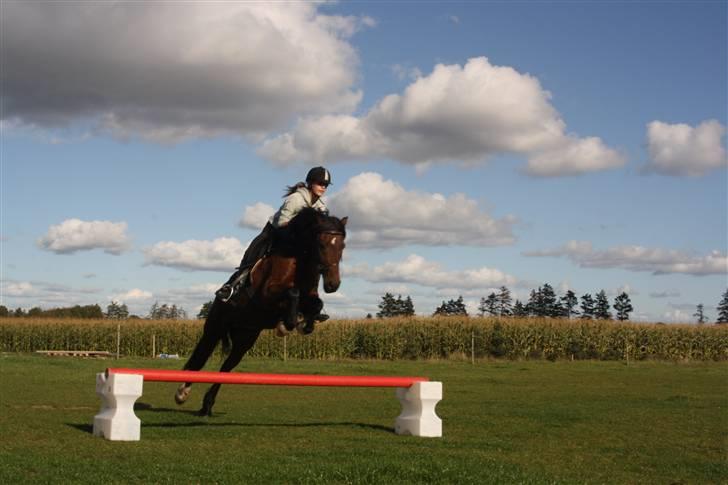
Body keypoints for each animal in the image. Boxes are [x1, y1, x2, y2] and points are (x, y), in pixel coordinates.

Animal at [176, 208, 346, 416]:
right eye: (321, 244)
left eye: (343, 246)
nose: (333, 285)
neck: (299, 258)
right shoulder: (266, 295)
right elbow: (293, 292)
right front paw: (287, 324)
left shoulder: (309, 296)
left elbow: (316, 304)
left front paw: (303, 323)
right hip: (215, 328)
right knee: (201, 355)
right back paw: (182, 393)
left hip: (246, 338)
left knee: (227, 367)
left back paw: (207, 405)